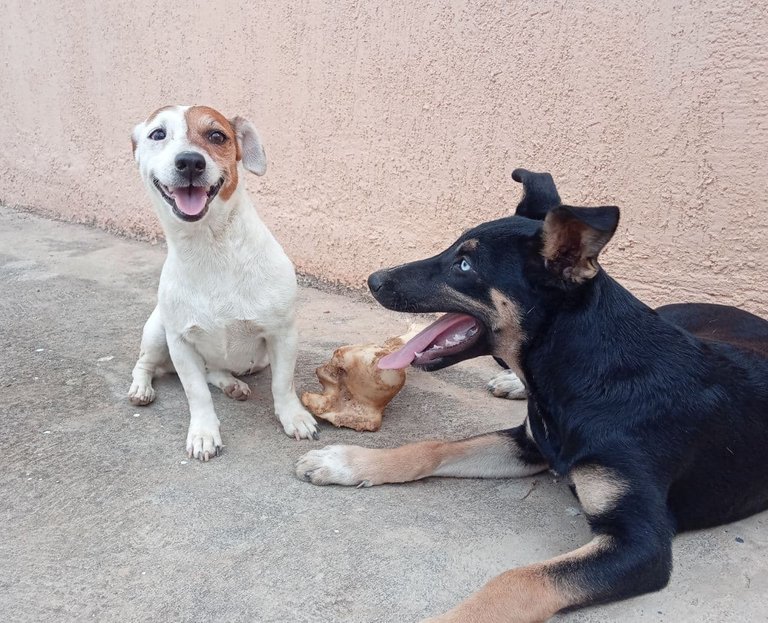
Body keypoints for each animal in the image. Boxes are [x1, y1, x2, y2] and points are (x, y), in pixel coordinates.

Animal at [128, 106, 318, 458]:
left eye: (217, 135)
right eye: (158, 134)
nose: (190, 161)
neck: (210, 247)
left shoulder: (283, 334)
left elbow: (282, 384)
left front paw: (294, 417)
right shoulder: (180, 343)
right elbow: (196, 394)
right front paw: (204, 433)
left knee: (213, 371)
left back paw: (231, 384)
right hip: (157, 332)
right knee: (145, 364)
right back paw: (141, 388)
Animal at [296, 171, 768, 623]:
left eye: (464, 264)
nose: (373, 280)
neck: (584, 375)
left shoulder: (640, 543)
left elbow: (517, 581)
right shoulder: (528, 442)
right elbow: (434, 447)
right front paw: (347, 462)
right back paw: (510, 383)